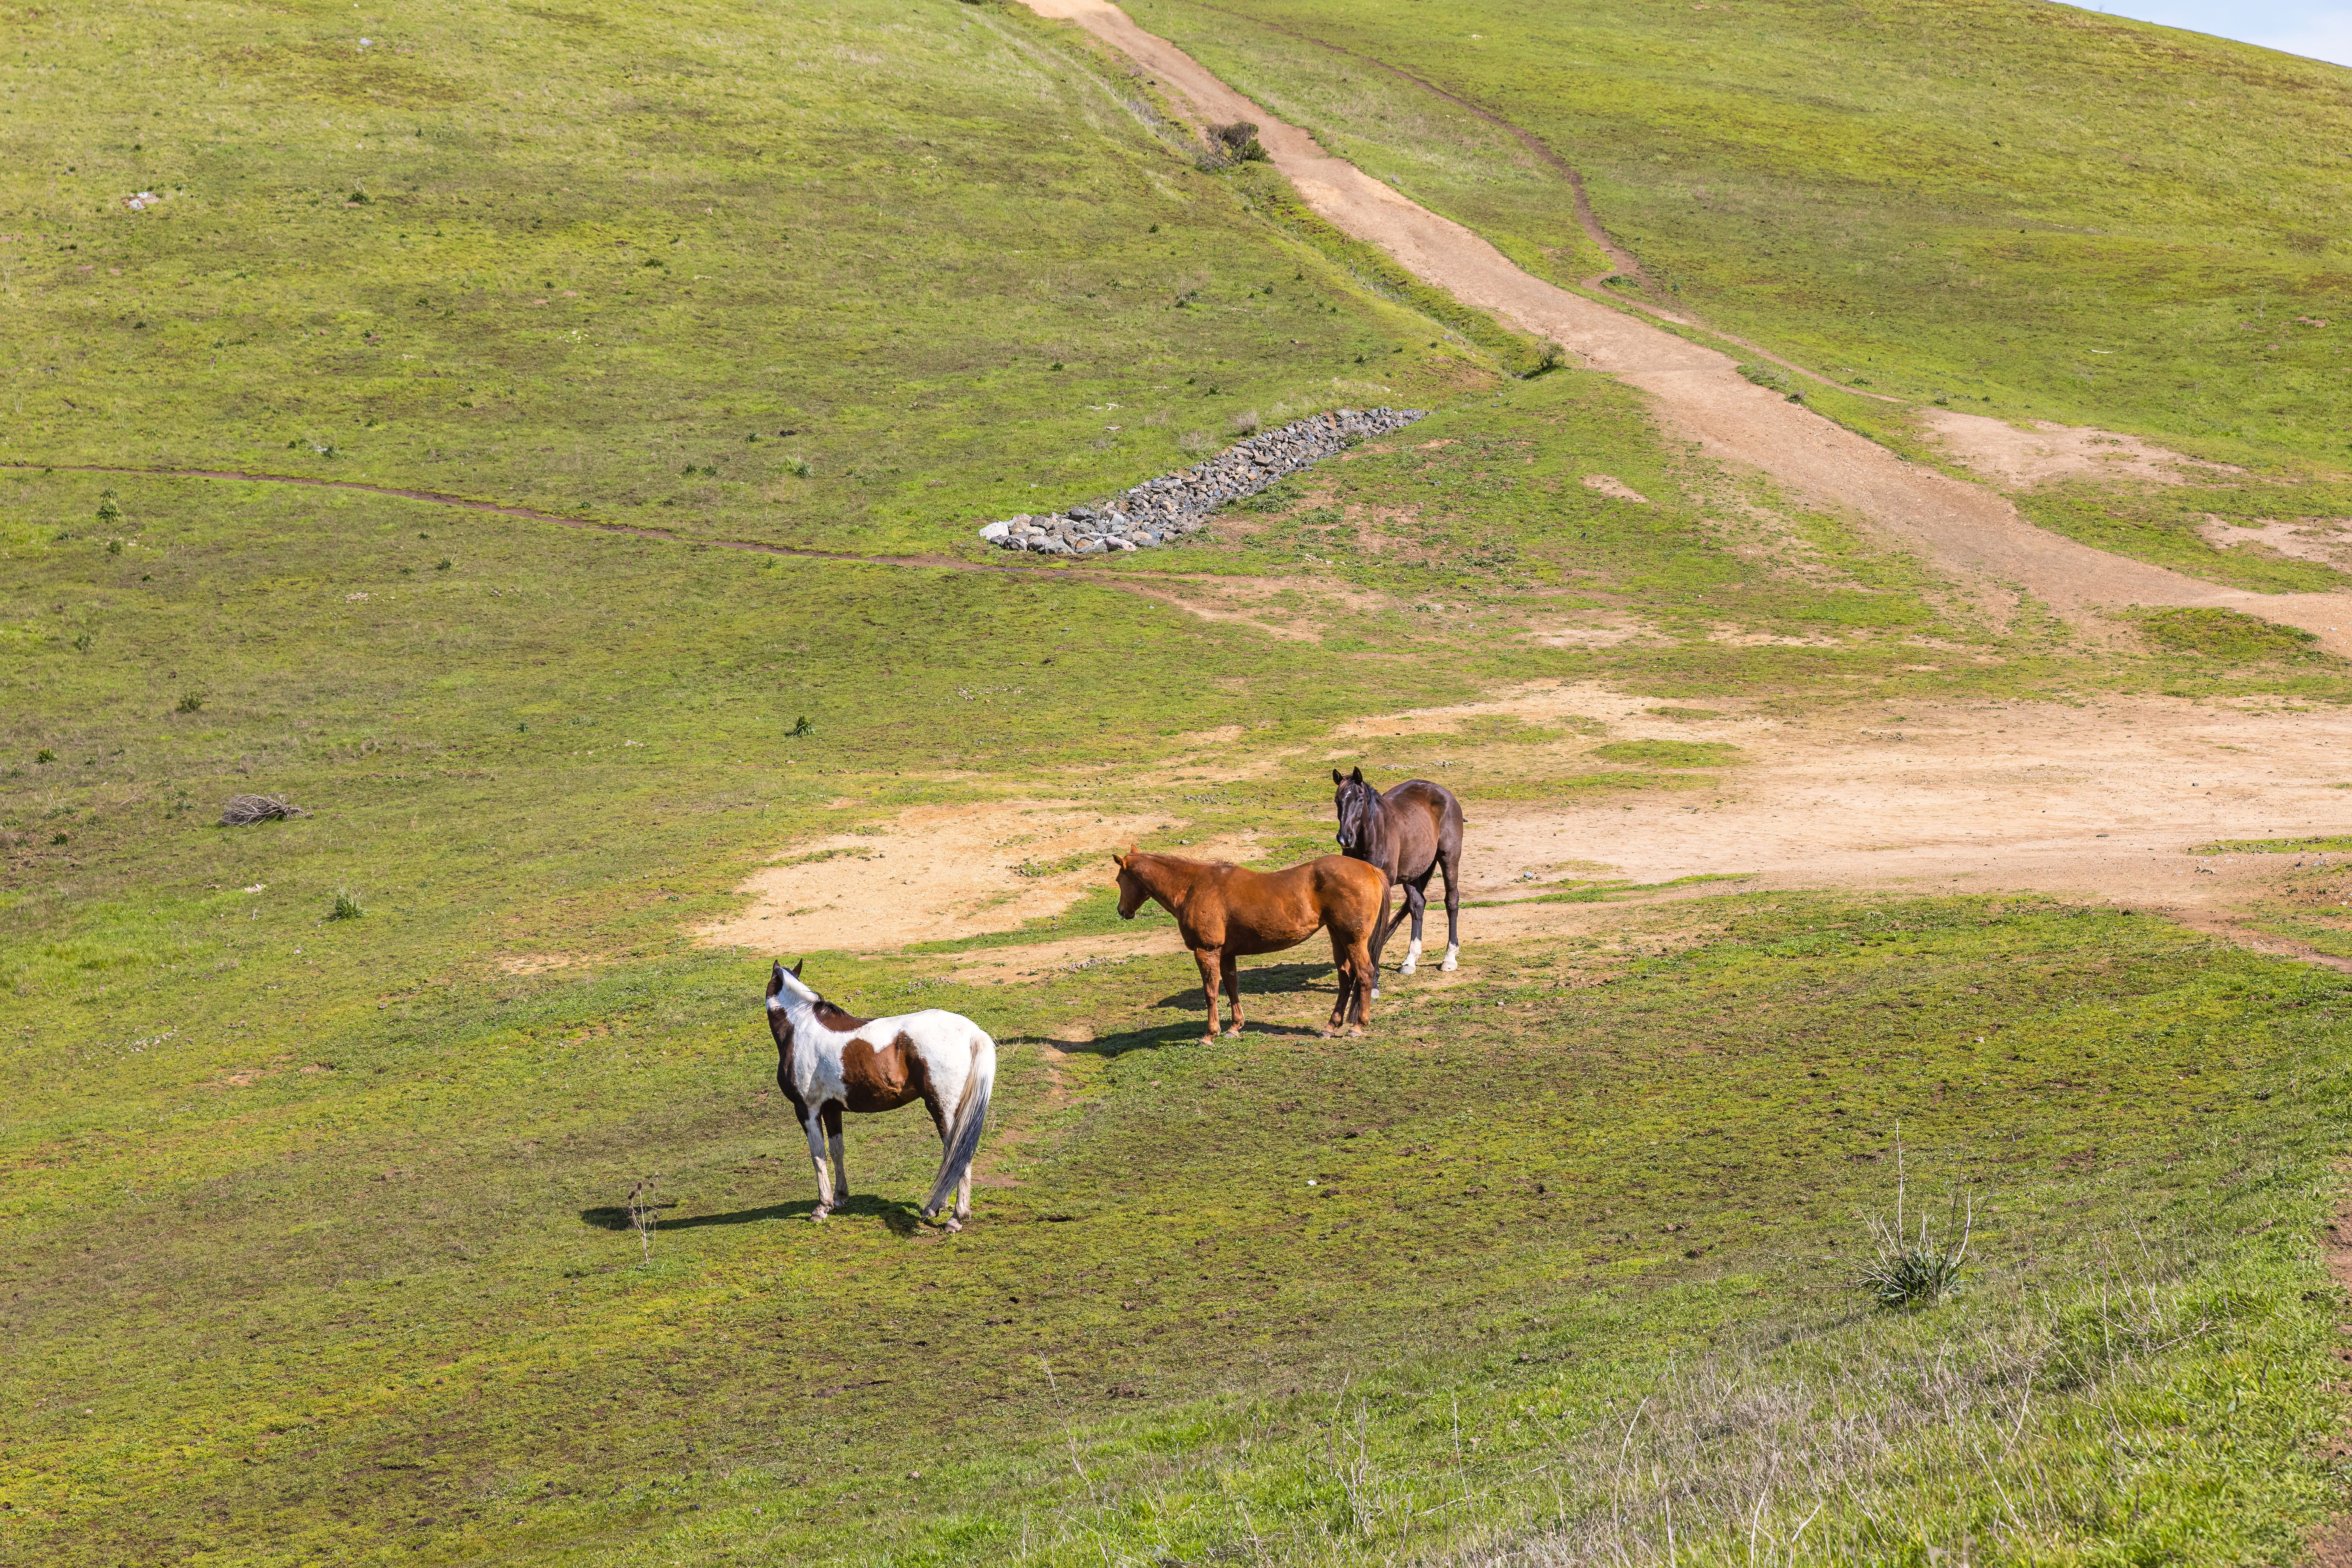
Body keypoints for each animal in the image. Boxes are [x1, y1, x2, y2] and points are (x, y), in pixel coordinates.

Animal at [763, 960, 996, 1232]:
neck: (800, 1027)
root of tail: (972, 1032)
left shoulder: (807, 1109)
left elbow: (818, 1155)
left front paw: (822, 1208)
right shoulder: (832, 1108)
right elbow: (837, 1150)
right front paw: (840, 1199)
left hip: (943, 1108)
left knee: (958, 1154)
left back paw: (955, 1218)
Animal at [1112, 849, 1387, 1042]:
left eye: (1118, 880)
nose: (1122, 911)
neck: (1193, 886)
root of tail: (1371, 870)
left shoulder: (1206, 951)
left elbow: (1211, 993)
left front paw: (1210, 1034)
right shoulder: (1226, 954)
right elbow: (1232, 988)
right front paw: (1235, 1028)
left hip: (1353, 940)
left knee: (1365, 974)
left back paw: (1358, 1027)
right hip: (1337, 937)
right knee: (1346, 978)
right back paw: (1331, 1026)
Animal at [1331, 767, 1465, 991]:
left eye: (1360, 799)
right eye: (1337, 800)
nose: (1345, 838)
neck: (1373, 837)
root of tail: (1444, 793)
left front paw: (1374, 981)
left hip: (1449, 858)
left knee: (1451, 901)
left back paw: (1449, 958)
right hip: (1411, 874)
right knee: (1418, 905)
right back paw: (1410, 960)